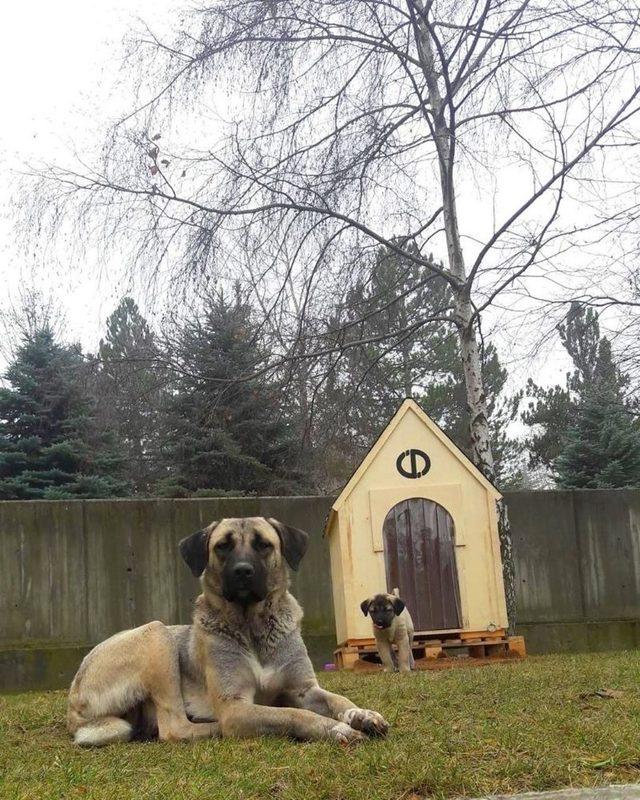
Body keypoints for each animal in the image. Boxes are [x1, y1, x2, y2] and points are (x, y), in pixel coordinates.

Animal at [67, 516, 388, 748]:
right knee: (175, 727)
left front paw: (362, 714)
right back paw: (213, 728)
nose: (243, 571)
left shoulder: (304, 689)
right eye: (222, 546)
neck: (253, 626)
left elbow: (338, 700)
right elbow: (293, 714)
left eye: (263, 545)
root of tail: (73, 698)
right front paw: (336, 729)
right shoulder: (236, 707)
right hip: (157, 635)